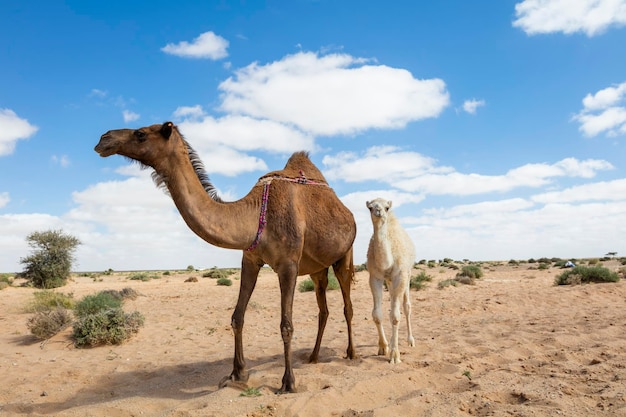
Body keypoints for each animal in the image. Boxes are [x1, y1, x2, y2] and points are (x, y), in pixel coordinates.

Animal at [93, 119, 356, 390]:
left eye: (141, 133)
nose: (104, 139)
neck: (254, 215)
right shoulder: (250, 259)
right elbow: (237, 316)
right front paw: (238, 373)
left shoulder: (288, 264)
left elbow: (286, 325)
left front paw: (288, 383)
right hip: (317, 269)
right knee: (323, 309)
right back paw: (313, 356)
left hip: (344, 256)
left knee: (347, 304)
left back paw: (351, 353)